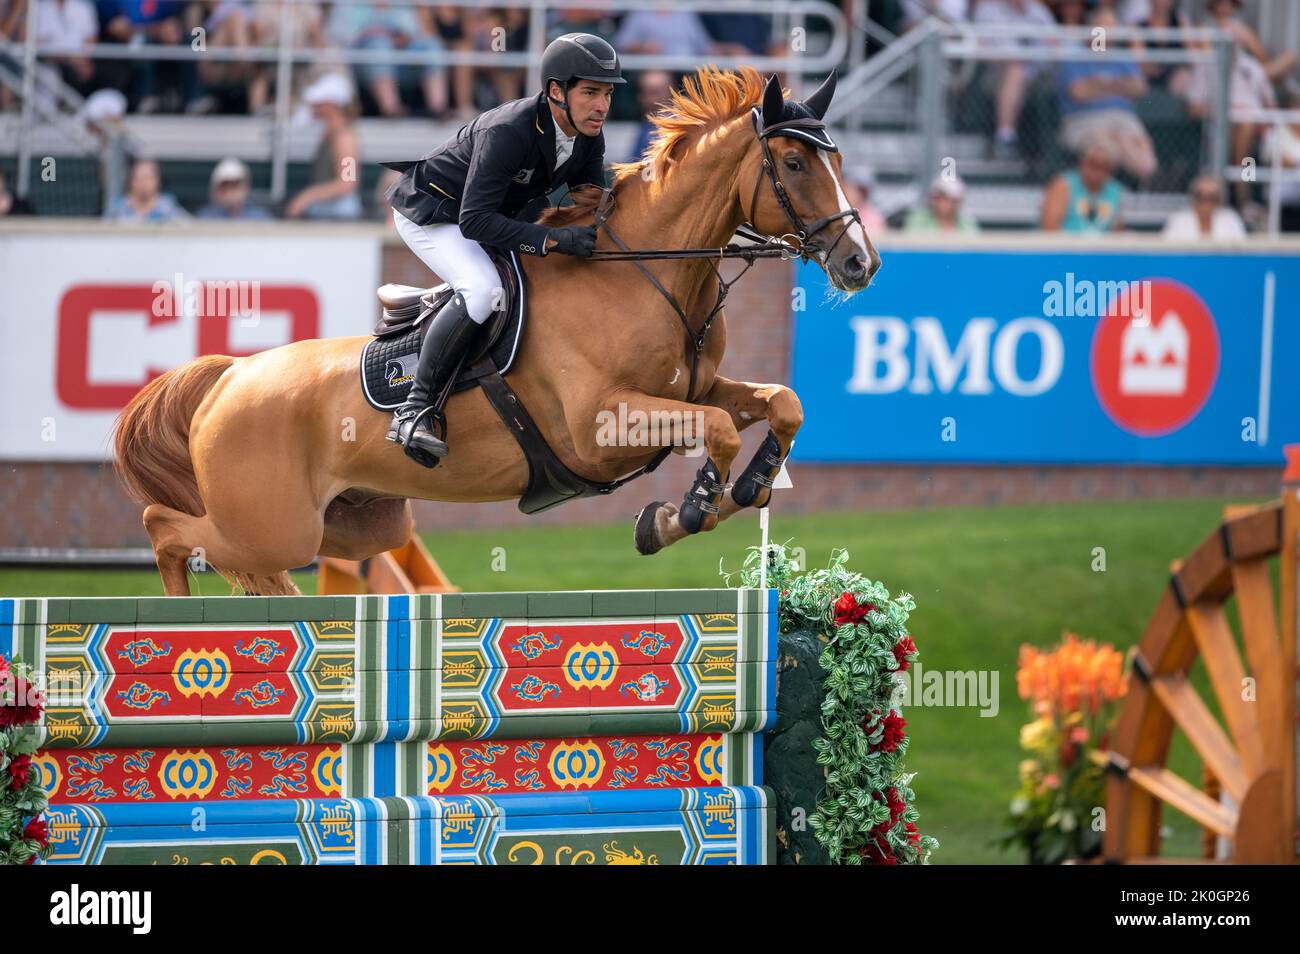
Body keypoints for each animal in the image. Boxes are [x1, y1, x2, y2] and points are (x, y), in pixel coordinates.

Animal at [114, 67, 883, 595]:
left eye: (840, 163)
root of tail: (229, 378)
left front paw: (749, 484)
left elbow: (782, 403)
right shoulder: (598, 427)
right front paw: (685, 511)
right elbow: (718, 431)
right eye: (793, 164)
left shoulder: (697, 388)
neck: (644, 275)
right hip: (273, 526)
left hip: (361, 524)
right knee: (167, 529)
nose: (861, 263)